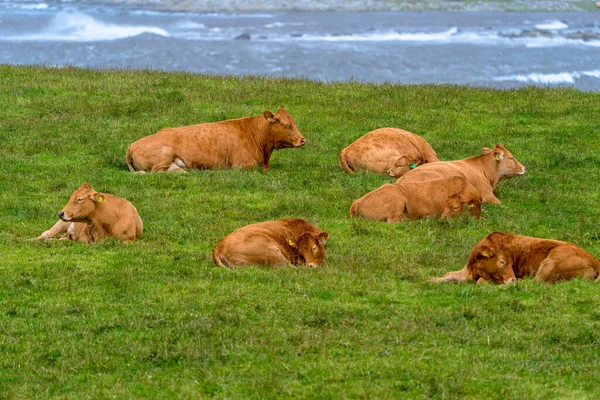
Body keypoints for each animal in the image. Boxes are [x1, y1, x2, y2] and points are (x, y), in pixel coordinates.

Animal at [125, 108, 304, 173]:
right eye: (287, 125)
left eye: (294, 123)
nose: (302, 140)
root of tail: (132, 145)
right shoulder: (241, 164)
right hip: (164, 154)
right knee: (156, 172)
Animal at [432, 231, 600, 284]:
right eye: (501, 262)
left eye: (509, 262)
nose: (512, 278)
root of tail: (595, 261)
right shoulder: (467, 271)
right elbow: (449, 275)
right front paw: (432, 280)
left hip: (549, 264)